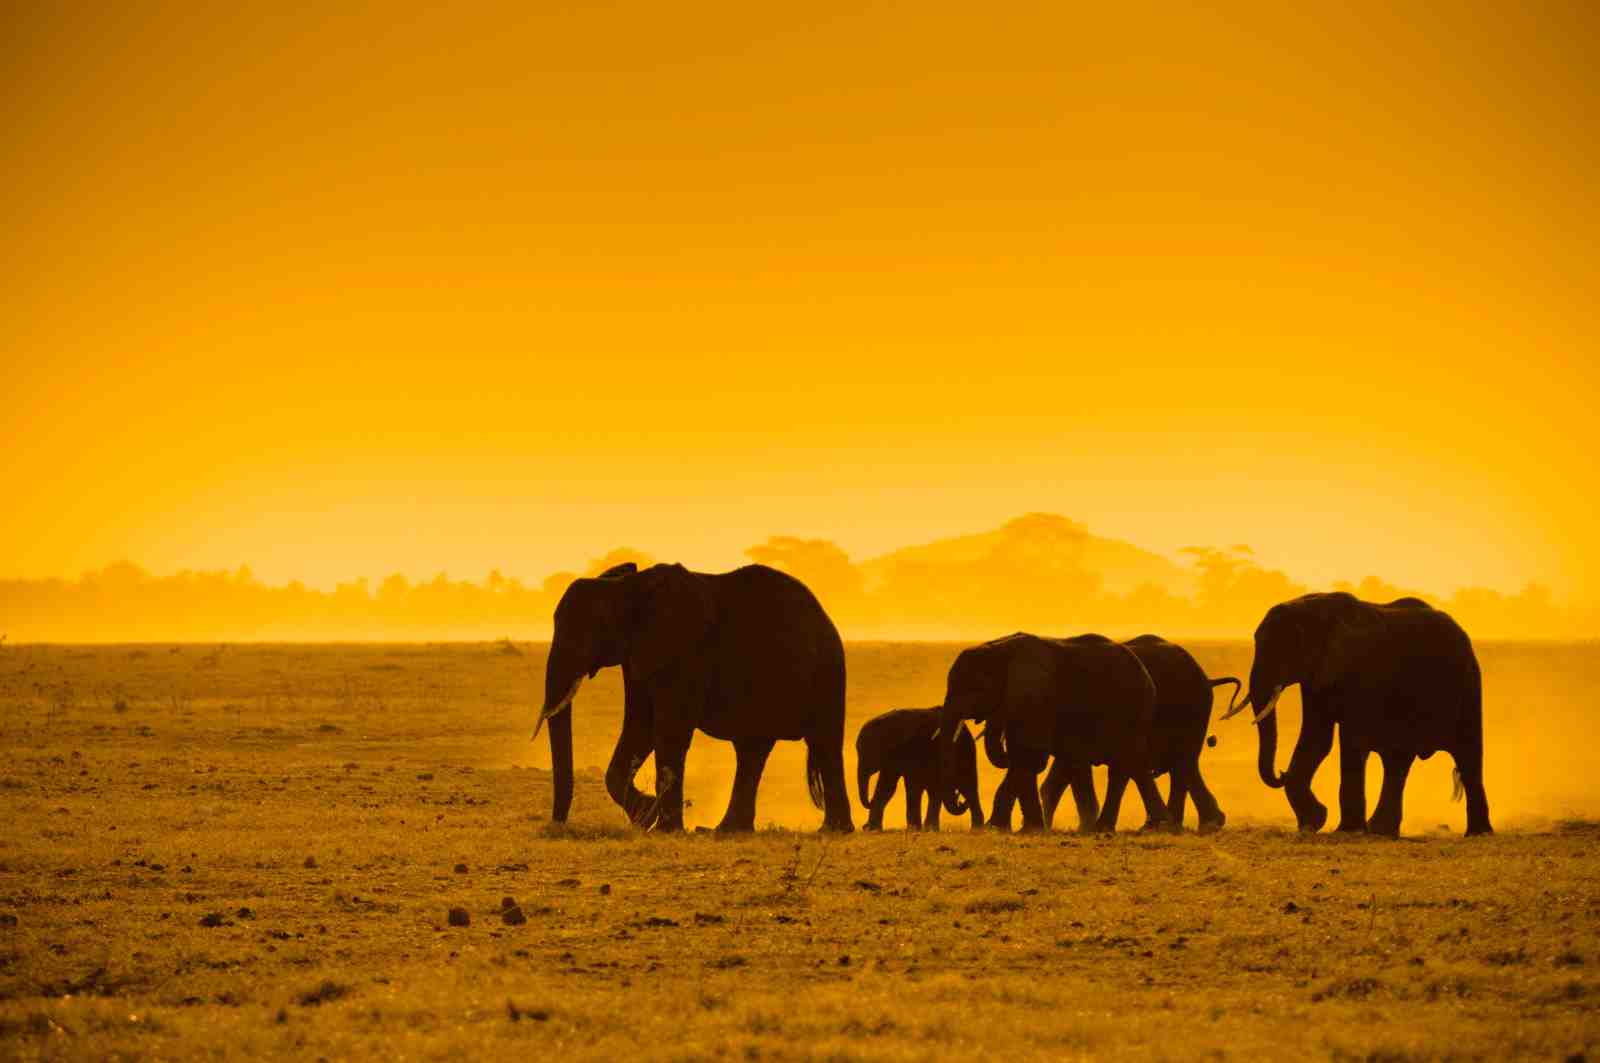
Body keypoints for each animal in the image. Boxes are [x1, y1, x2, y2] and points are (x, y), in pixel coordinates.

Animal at [533, 561, 854, 832]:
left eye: (588, 629)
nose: (558, 825)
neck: (626, 588)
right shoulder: (639, 656)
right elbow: (642, 725)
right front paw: (646, 816)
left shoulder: (681, 650)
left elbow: (669, 729)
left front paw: (661, 828)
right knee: (752, 749)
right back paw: (726, 832)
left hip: (826, 673)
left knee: (822, 742)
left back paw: (832, 831)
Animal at [855, 707, 984, 831]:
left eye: (870, 753)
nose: (864, 826)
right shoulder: (893, 759)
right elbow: (887, 787)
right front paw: (874, 829)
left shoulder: (913, 749)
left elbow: (913, 786)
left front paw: (915, 828)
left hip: (965, 751)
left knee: (968, 786)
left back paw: (975, 828)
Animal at [936, 633, 1165, 832]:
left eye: (971, 690)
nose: (960, 800)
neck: (1000, 648)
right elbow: (1024, 757)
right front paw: (1024, 829)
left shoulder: (1036, 697)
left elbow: (1030, 756)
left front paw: (999, 828)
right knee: (1123, 764)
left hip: (1131, 711)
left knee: (1122, 764)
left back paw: (1114, 827)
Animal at [1220, 592, 1490, 837]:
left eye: (1284, 649)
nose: (1279, 773)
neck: (1312, 609)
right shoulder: (1318, 679)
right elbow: (1317, 740)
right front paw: (1313, 823)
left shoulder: (1358, 675)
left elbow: (1351, 741)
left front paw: (1347, 830)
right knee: (1398, 761)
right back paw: (1382, 831)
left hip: (1467, 687)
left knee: (1467, 755)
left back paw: (1478, 833)